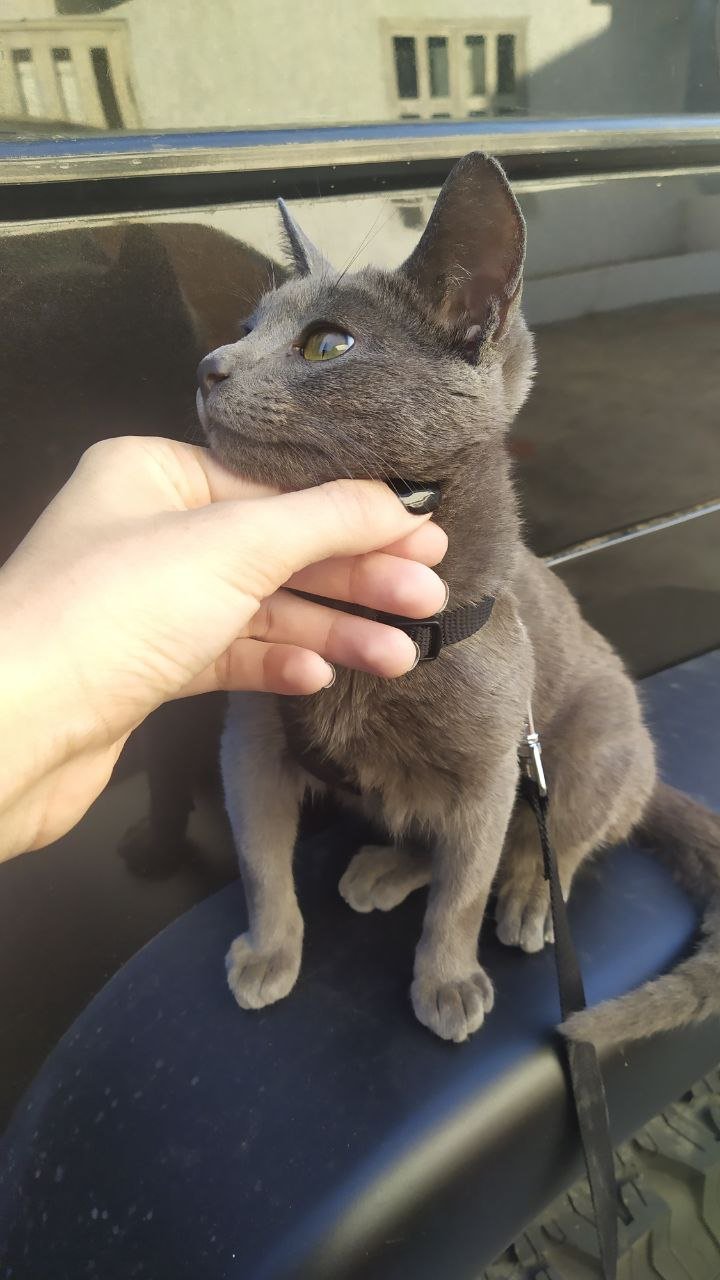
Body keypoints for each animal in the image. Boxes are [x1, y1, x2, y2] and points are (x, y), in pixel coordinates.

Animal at [194, 152, 717, 1049]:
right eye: (246, 324)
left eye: (328, 343)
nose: (210, 364)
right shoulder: (253, 737)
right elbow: (262, 860)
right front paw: (269, 952)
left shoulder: (490, 768)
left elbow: (461, 895)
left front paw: (445, 981)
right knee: (427, 825)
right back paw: (383, 868)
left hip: (590, 748)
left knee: (548, 846)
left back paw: (530, 900)